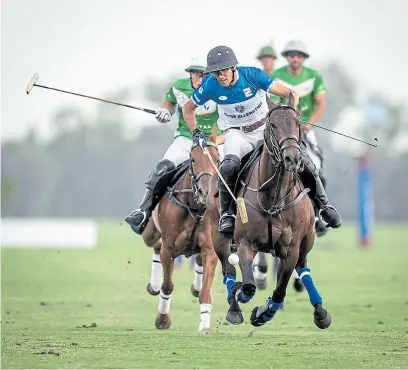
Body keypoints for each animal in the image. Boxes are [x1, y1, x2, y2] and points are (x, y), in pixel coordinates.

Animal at [143, 136, 222, 332]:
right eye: (193, 160)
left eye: (217, 160)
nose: (205, 192)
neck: (194, 207)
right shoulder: (169, 249)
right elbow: (167, 286)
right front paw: (163, 319)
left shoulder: (210, 249)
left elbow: (205, 292)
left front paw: (205, 325)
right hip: (150, 233)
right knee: (156, 246)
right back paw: (153, 286)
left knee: (198, 260)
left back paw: (195, 287)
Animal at [209, 93, 330, 330]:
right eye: (272, 125)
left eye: (297, 122)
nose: (293, 158)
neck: (274, 197)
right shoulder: (246, 243)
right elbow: (247, 286)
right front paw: (240, 296)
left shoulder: (291, 248)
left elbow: (280, 290)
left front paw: (263, 313)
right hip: (218, 237)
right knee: (228, 270)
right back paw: (234, 307)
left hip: (307, 240)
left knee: (303, 268)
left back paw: (320, 312)